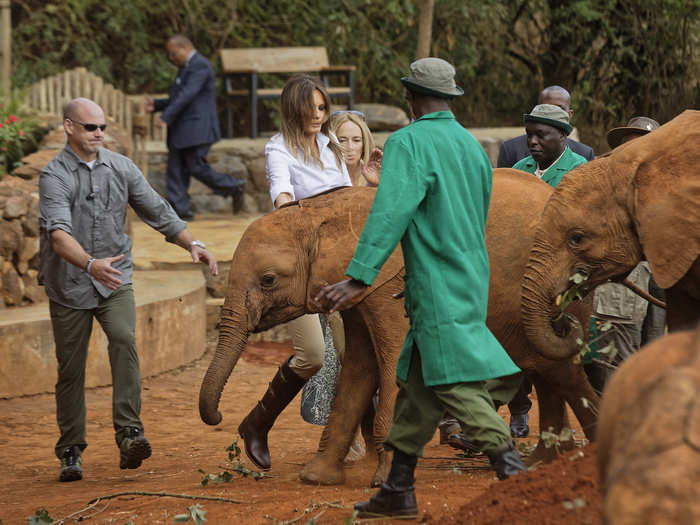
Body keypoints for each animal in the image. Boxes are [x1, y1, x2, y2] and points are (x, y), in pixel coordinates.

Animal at [200, 170, 600, 486]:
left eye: (268, 280)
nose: (217, 418)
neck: (323, 212)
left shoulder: (392, 280)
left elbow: (393, 363)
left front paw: (380, 481)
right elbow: (359, 368)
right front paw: (316, 478)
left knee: (559, 367)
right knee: (546, 369)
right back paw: (543, 464)